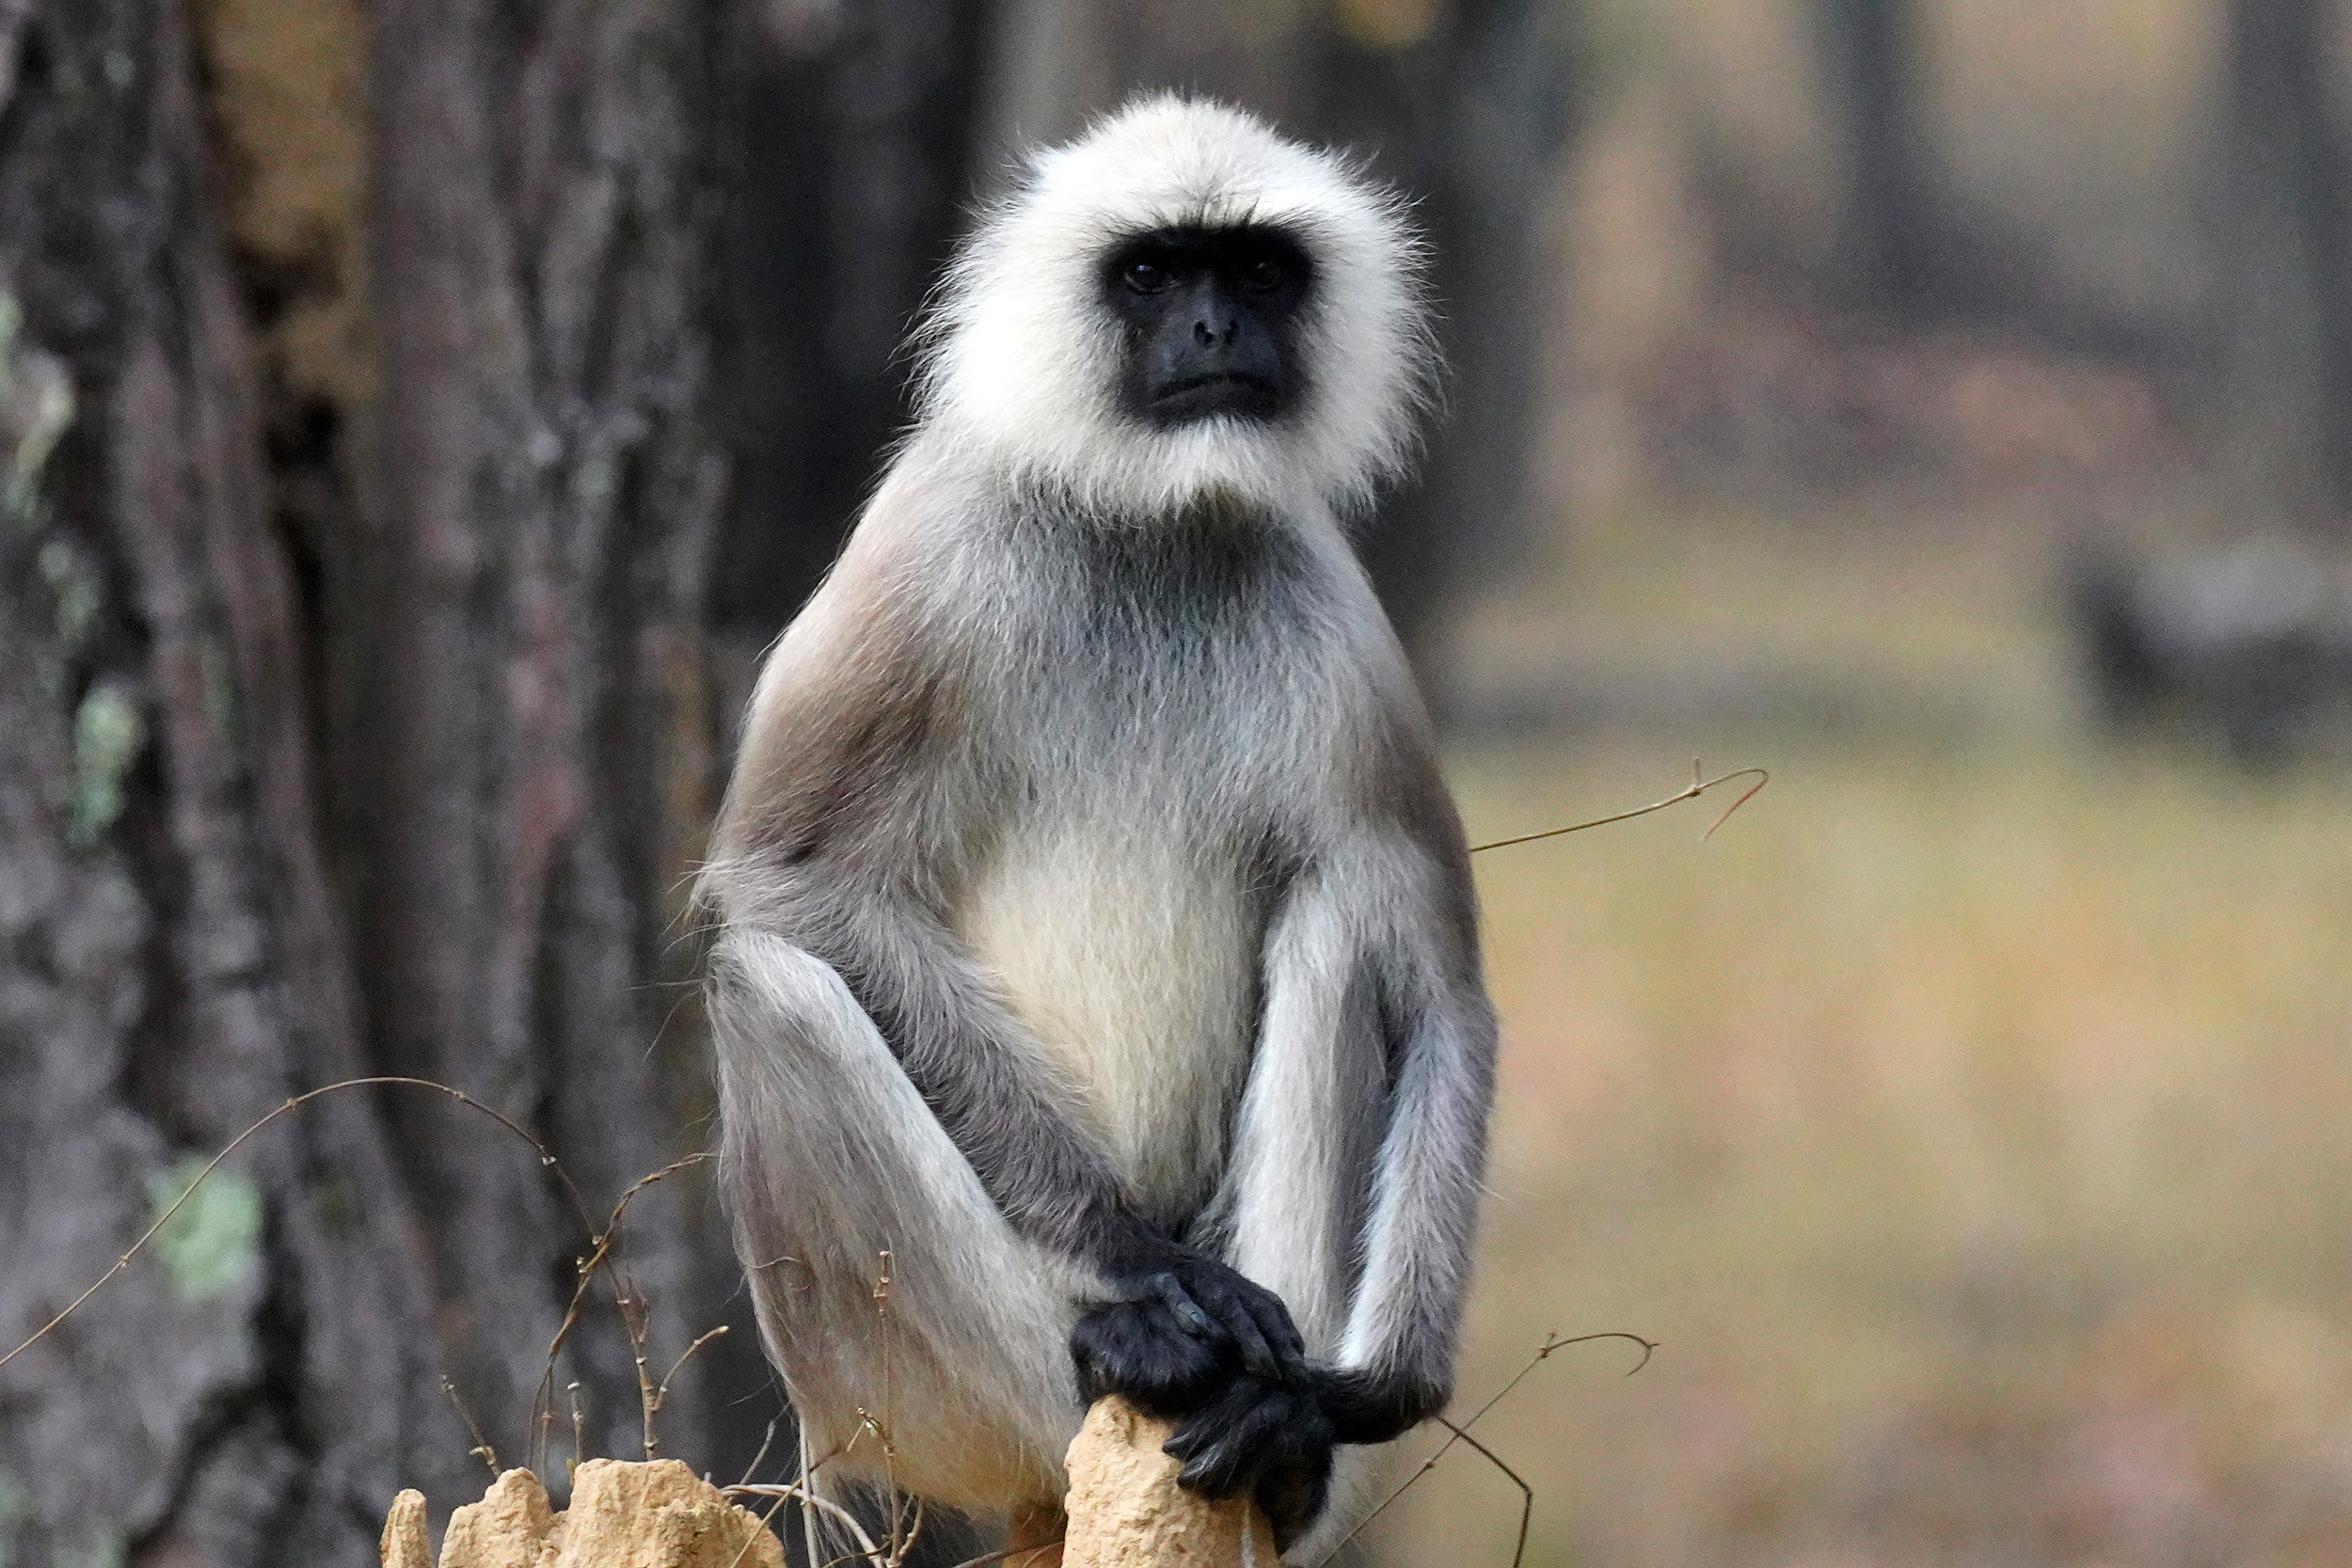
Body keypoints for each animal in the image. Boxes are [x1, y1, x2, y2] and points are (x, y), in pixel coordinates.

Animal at [698, 95, 1497, 1562]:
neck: (1150, 520)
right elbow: (792, 889)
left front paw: (1377, 1391)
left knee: (1347, 920)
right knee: (768, 983)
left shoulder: (1335, 618)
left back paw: (1280, 1440)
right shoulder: (932, 549)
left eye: (1255, 271)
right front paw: (1137, 1258)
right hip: (891, 1395)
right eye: (1150, 273)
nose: (1213, 331)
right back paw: (1117, 1343)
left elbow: (1442, 990)